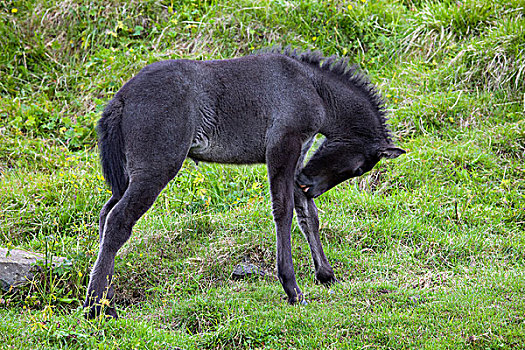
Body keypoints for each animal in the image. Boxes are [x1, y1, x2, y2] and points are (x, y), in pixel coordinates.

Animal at [86, 46, 406, 318]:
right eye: (359, 168)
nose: (310, 184)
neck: (315, 88)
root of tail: (121, 97)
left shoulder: (297, 155)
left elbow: (307, 214)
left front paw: (325, 273)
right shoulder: (282, 147)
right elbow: (283, 211)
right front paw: (292, 289)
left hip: (129, 174)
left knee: (105, 214)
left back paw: (105, 299)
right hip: (156, 167)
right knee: (118, 221)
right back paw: (97, 308)